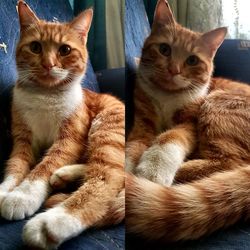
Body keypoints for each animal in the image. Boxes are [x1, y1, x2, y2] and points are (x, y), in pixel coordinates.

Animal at [0, 1, 124, 248]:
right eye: (35, 47)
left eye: (65, 50)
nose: (48, 64)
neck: (44, 96)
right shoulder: (22, 140)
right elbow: (15, 167)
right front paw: (4, 190)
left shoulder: (68, 140)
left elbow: (42, 168)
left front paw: (21, 196)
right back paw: (65, 175)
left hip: (106, 130)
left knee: (109, 177)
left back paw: (52, 223)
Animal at [126, 0, 250, 243]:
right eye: (164, 49)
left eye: (192, 60)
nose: (173, 70)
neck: (167, 95)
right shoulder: (142, 125)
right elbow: (132, 147)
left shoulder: (188, 124)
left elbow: (169, 138)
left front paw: (152, 168)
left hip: (217, 104)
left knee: (230, 162)